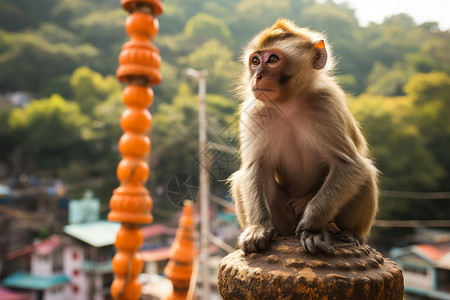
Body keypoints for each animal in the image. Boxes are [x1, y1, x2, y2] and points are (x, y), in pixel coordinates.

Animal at [229, 17, 380, 254]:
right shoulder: (254, 111)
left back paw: (350, 233)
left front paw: (311, 227)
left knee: (365, 175)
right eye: (255, 61)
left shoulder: (325, 105)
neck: (288, 105)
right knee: (240, 179)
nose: (257, 76)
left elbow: (350, 165)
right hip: (283, 220)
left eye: (273, 59)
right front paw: (258, 228)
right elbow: (255, 167)